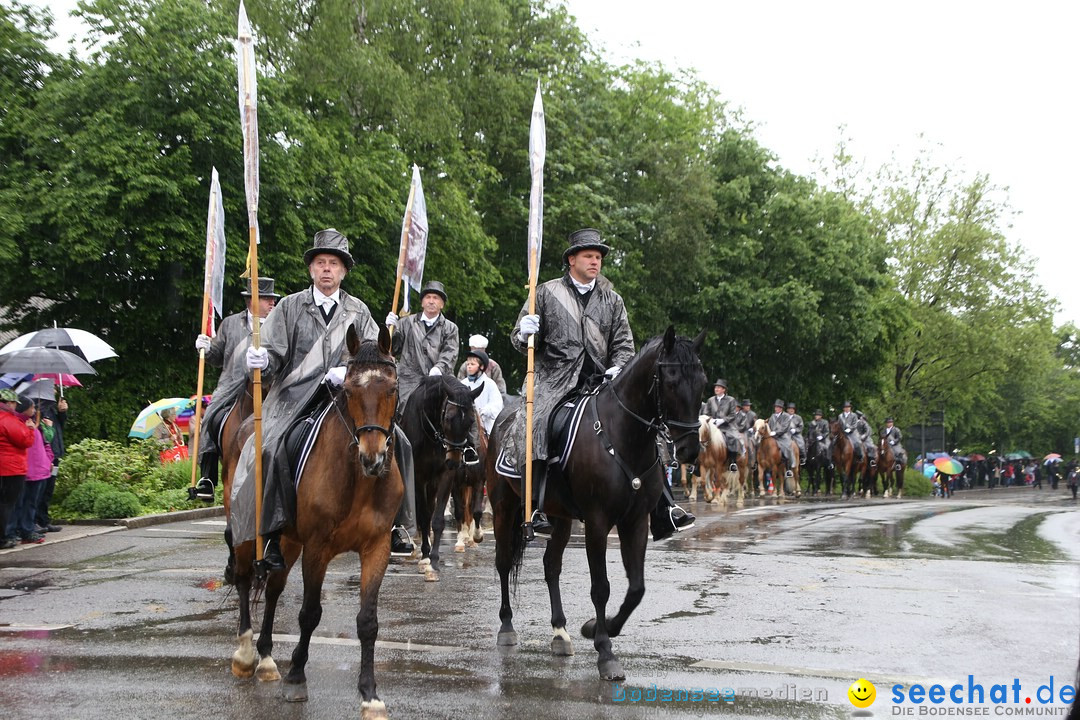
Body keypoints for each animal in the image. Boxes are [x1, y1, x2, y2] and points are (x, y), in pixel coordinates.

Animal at [227, 325, 401, 720]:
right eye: (349, 390)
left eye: (392, 388)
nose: (373, 458)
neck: (359, 481)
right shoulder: (317, 547)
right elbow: (309, 613)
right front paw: (296, 676)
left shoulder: (377, 547)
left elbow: (368, 622)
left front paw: (370, 694)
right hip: (249, 532)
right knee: (244, 579)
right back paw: (245, 654)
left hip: (288, 541)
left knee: (273, 589)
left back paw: (266, 659)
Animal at [397, 371, 481, 578]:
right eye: (449, 418)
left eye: (471, 420)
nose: (454, 461)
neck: (431, 433)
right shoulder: (418, 477)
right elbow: (424, 516)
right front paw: (426, 557)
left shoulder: (445, 476)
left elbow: (437, 520)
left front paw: (433, 560)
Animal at [490, 325, 708, 682]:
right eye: (672, 381)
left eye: (702, 382)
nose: (690, 450)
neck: (623, 435)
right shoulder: (597, 521)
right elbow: (600, 587)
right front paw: (605, 651)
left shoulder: (636, 521)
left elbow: (636, 588)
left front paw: (594, 628)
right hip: (503, 506)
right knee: (505, 562)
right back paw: (507, 627)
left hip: (561, 516)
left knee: (551, 565)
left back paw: (560, 632)